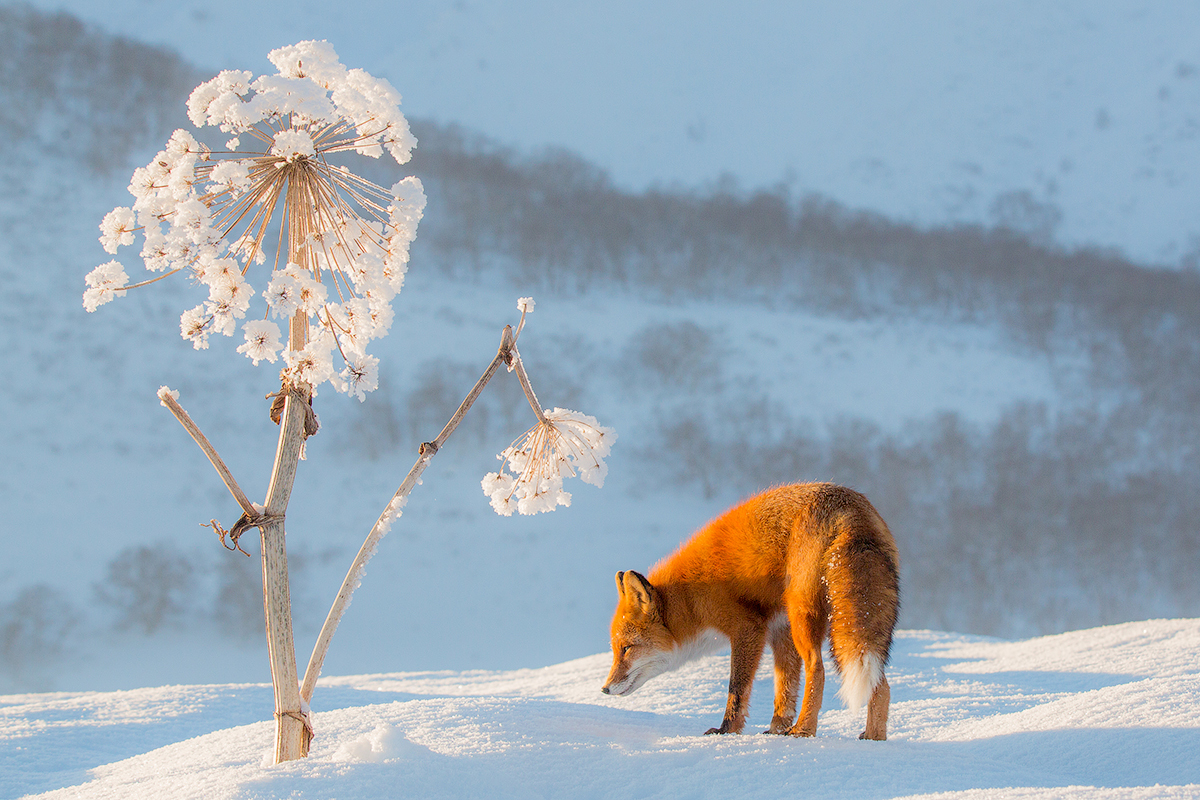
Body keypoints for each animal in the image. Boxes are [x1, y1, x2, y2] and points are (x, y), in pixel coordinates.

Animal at [604, 482, 897, 738]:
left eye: (626, 648)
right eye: (616, 649)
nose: (605, 689)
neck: (690, 598)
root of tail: (848, 506)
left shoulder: (748, 628)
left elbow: (737, 688)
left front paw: (727, 730)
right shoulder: (780, 629)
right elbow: (784, 687)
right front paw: (776, 730)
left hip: (803, 616)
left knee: (817, 668)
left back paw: (804, 729)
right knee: (881, 683)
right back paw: (874, 737)